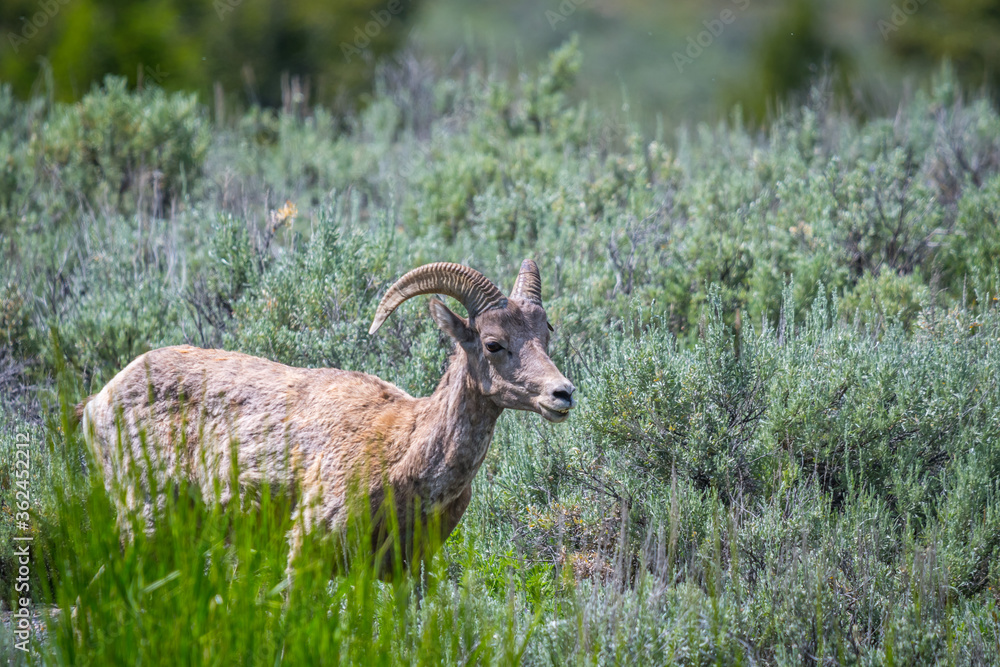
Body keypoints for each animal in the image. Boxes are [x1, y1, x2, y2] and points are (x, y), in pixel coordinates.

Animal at [81, 260, 576, 576]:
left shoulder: (404, 570)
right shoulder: (307, 551)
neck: (404, 455)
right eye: (493, 343)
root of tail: (95, 404)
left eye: (545, 334)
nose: (563, 394)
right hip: (142, 517)